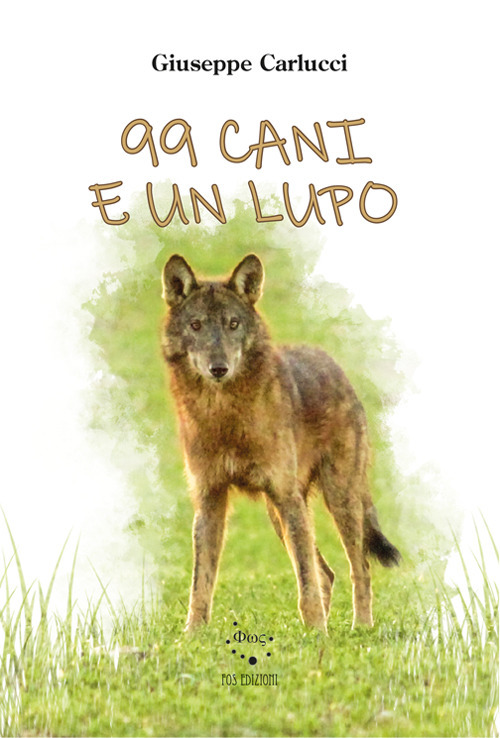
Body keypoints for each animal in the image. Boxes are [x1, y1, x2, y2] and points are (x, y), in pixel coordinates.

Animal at [161, 253, 401, 633]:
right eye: (196, 325)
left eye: (233, 324)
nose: (218, 368)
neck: (225, 417)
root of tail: (335, 366)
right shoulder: (210, 499)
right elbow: (201, 584)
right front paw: (192, 635)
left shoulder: (285, 498)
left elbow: (305, 582)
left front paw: (318, 633)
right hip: (281, 515)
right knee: (327, 573)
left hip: (335, 501)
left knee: (357, 569)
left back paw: (358, 628)